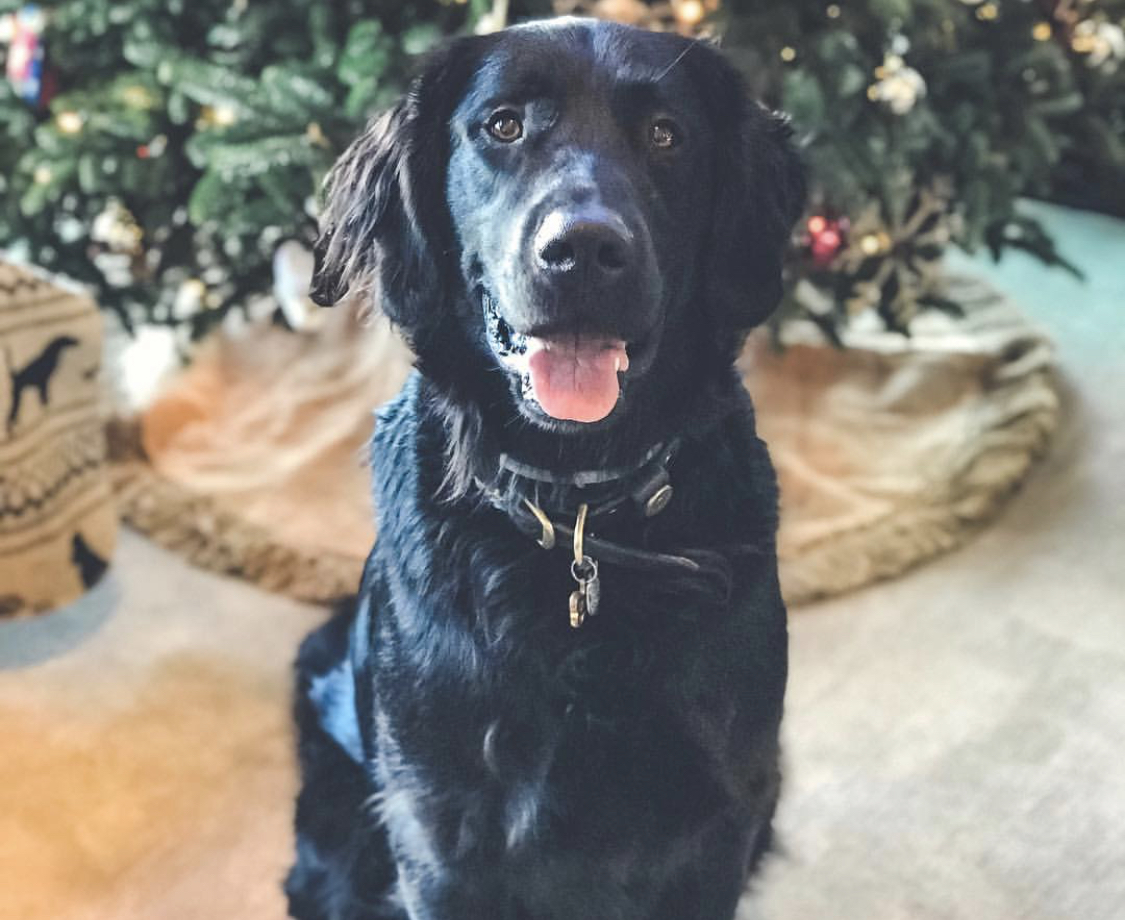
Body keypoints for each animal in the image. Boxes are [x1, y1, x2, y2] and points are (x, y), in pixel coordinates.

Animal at [285, 16, 805, 917]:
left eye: (665, 135)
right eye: (503, 126)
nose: (585, 249)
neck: (575, 513)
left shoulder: (718, 820)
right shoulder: (439, 834)